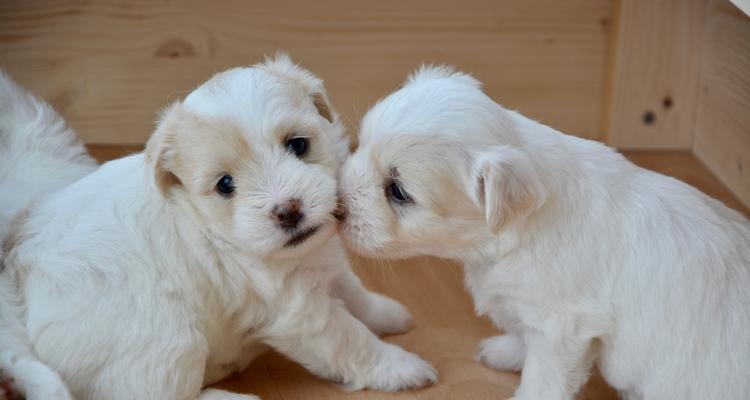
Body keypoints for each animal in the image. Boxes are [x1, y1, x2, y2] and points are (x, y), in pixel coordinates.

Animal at [0, 55, 438, 400]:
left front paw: (387, 314)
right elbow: (351, 340)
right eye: (225, 185)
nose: (288, 211)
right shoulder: (300, 312)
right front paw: (401, 366)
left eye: (298, 145)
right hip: (171, 343)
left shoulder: (322, 262)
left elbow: (352, 290)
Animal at [340, 65, 750, 400]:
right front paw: (505, 352)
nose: (337, 207)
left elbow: (543, 378)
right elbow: (524, 339)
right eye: (359, 143)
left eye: (398, 191)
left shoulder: (562, 328)